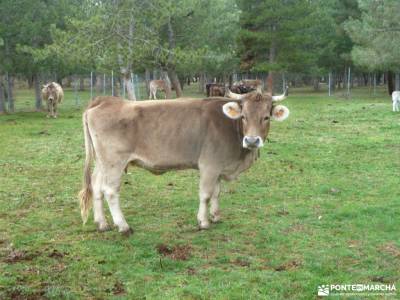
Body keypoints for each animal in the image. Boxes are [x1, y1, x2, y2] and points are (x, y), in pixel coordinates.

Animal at [79, 92, 290, 234]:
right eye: (244, 116)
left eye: (266, 117)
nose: (252, 141)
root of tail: (107, 100)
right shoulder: (209, 165)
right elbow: (205, 194)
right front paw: (203, 222)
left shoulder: (218, 166)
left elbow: (216, 192)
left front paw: (216, 216)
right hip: (114, 162)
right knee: (110, 191)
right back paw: (123, 226)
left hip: (102, 163)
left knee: (96, 187)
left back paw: (102, 224)